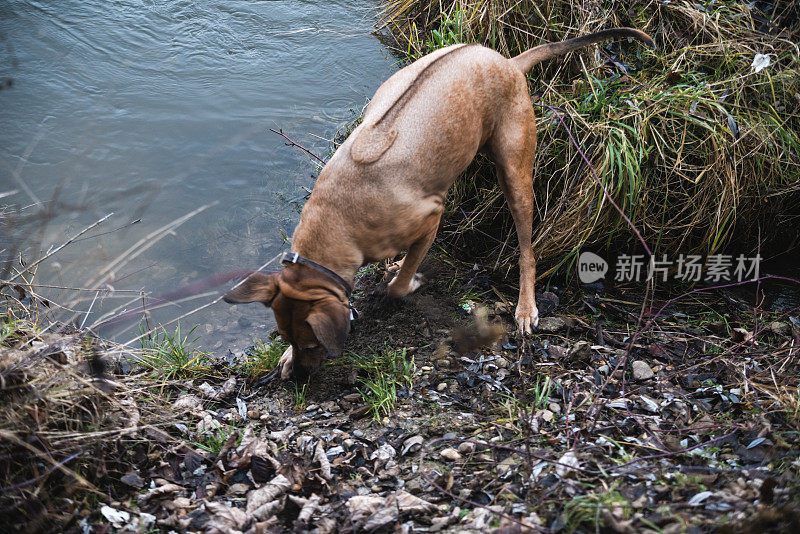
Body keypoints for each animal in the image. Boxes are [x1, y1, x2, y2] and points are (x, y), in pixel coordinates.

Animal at [223, 28, 648, 382]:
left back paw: (526, 306)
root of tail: (508, 62)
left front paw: (407, 281)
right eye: (286, 337)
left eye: (313, 344)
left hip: (515, 171)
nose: (298, 376)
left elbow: (398, 286)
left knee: (527, 249)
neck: (337, 215)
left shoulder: (431, 217)